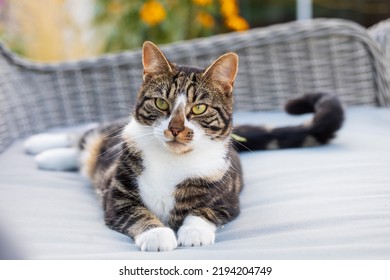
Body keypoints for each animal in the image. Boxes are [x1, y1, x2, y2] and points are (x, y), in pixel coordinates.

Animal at [23, 41, 344, 252]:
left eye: (199, 108)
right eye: (161, 103)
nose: (175, 128)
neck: (172, 161)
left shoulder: (228, 197)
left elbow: (205, 210)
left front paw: (193, 232)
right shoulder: (117, 195)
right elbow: (136, 211)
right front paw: (157, 235)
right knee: (84, 138)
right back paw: (42, 146)